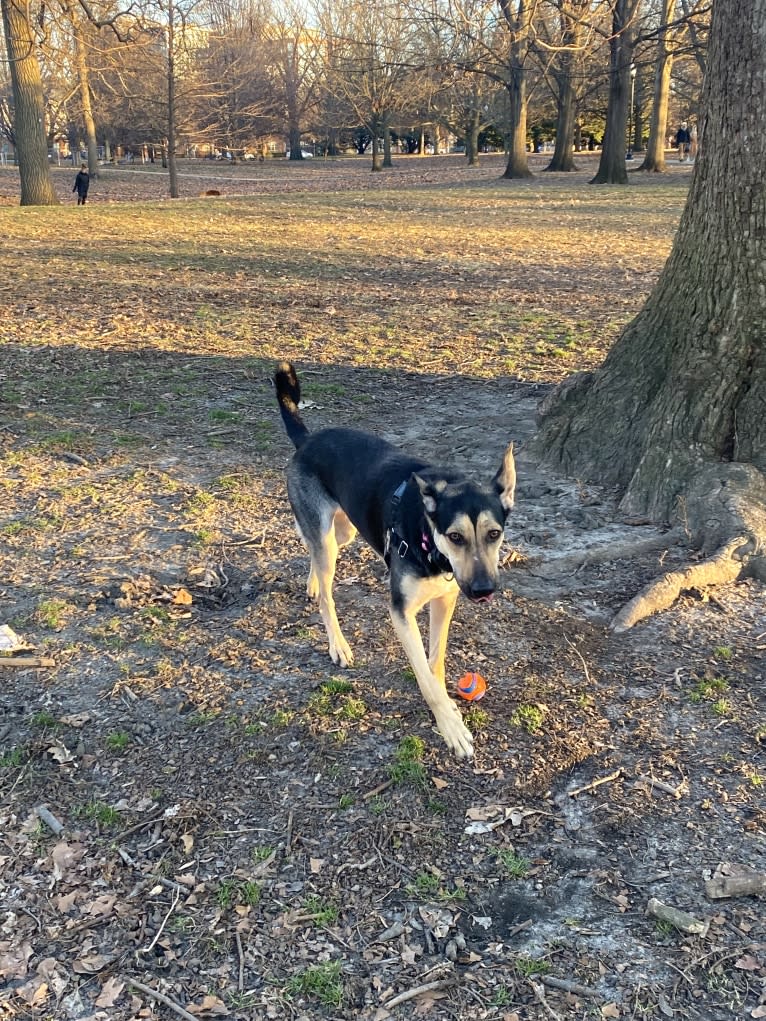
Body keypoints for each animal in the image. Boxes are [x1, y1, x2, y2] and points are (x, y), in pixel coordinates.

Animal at [275, 361, 516, 759]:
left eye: (494, 534)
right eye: (456, 537)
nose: (483, 591)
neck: (430, 543)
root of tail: (307, 440)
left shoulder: (445, 600)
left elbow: (436, 662)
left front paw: (448, 705)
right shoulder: (401, 612)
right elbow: (425, 675)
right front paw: (450, 727)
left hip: (344, 531)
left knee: (315, 553)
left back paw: (312, 582)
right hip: (328, 536)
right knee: (327, 594)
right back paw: (337, 643)